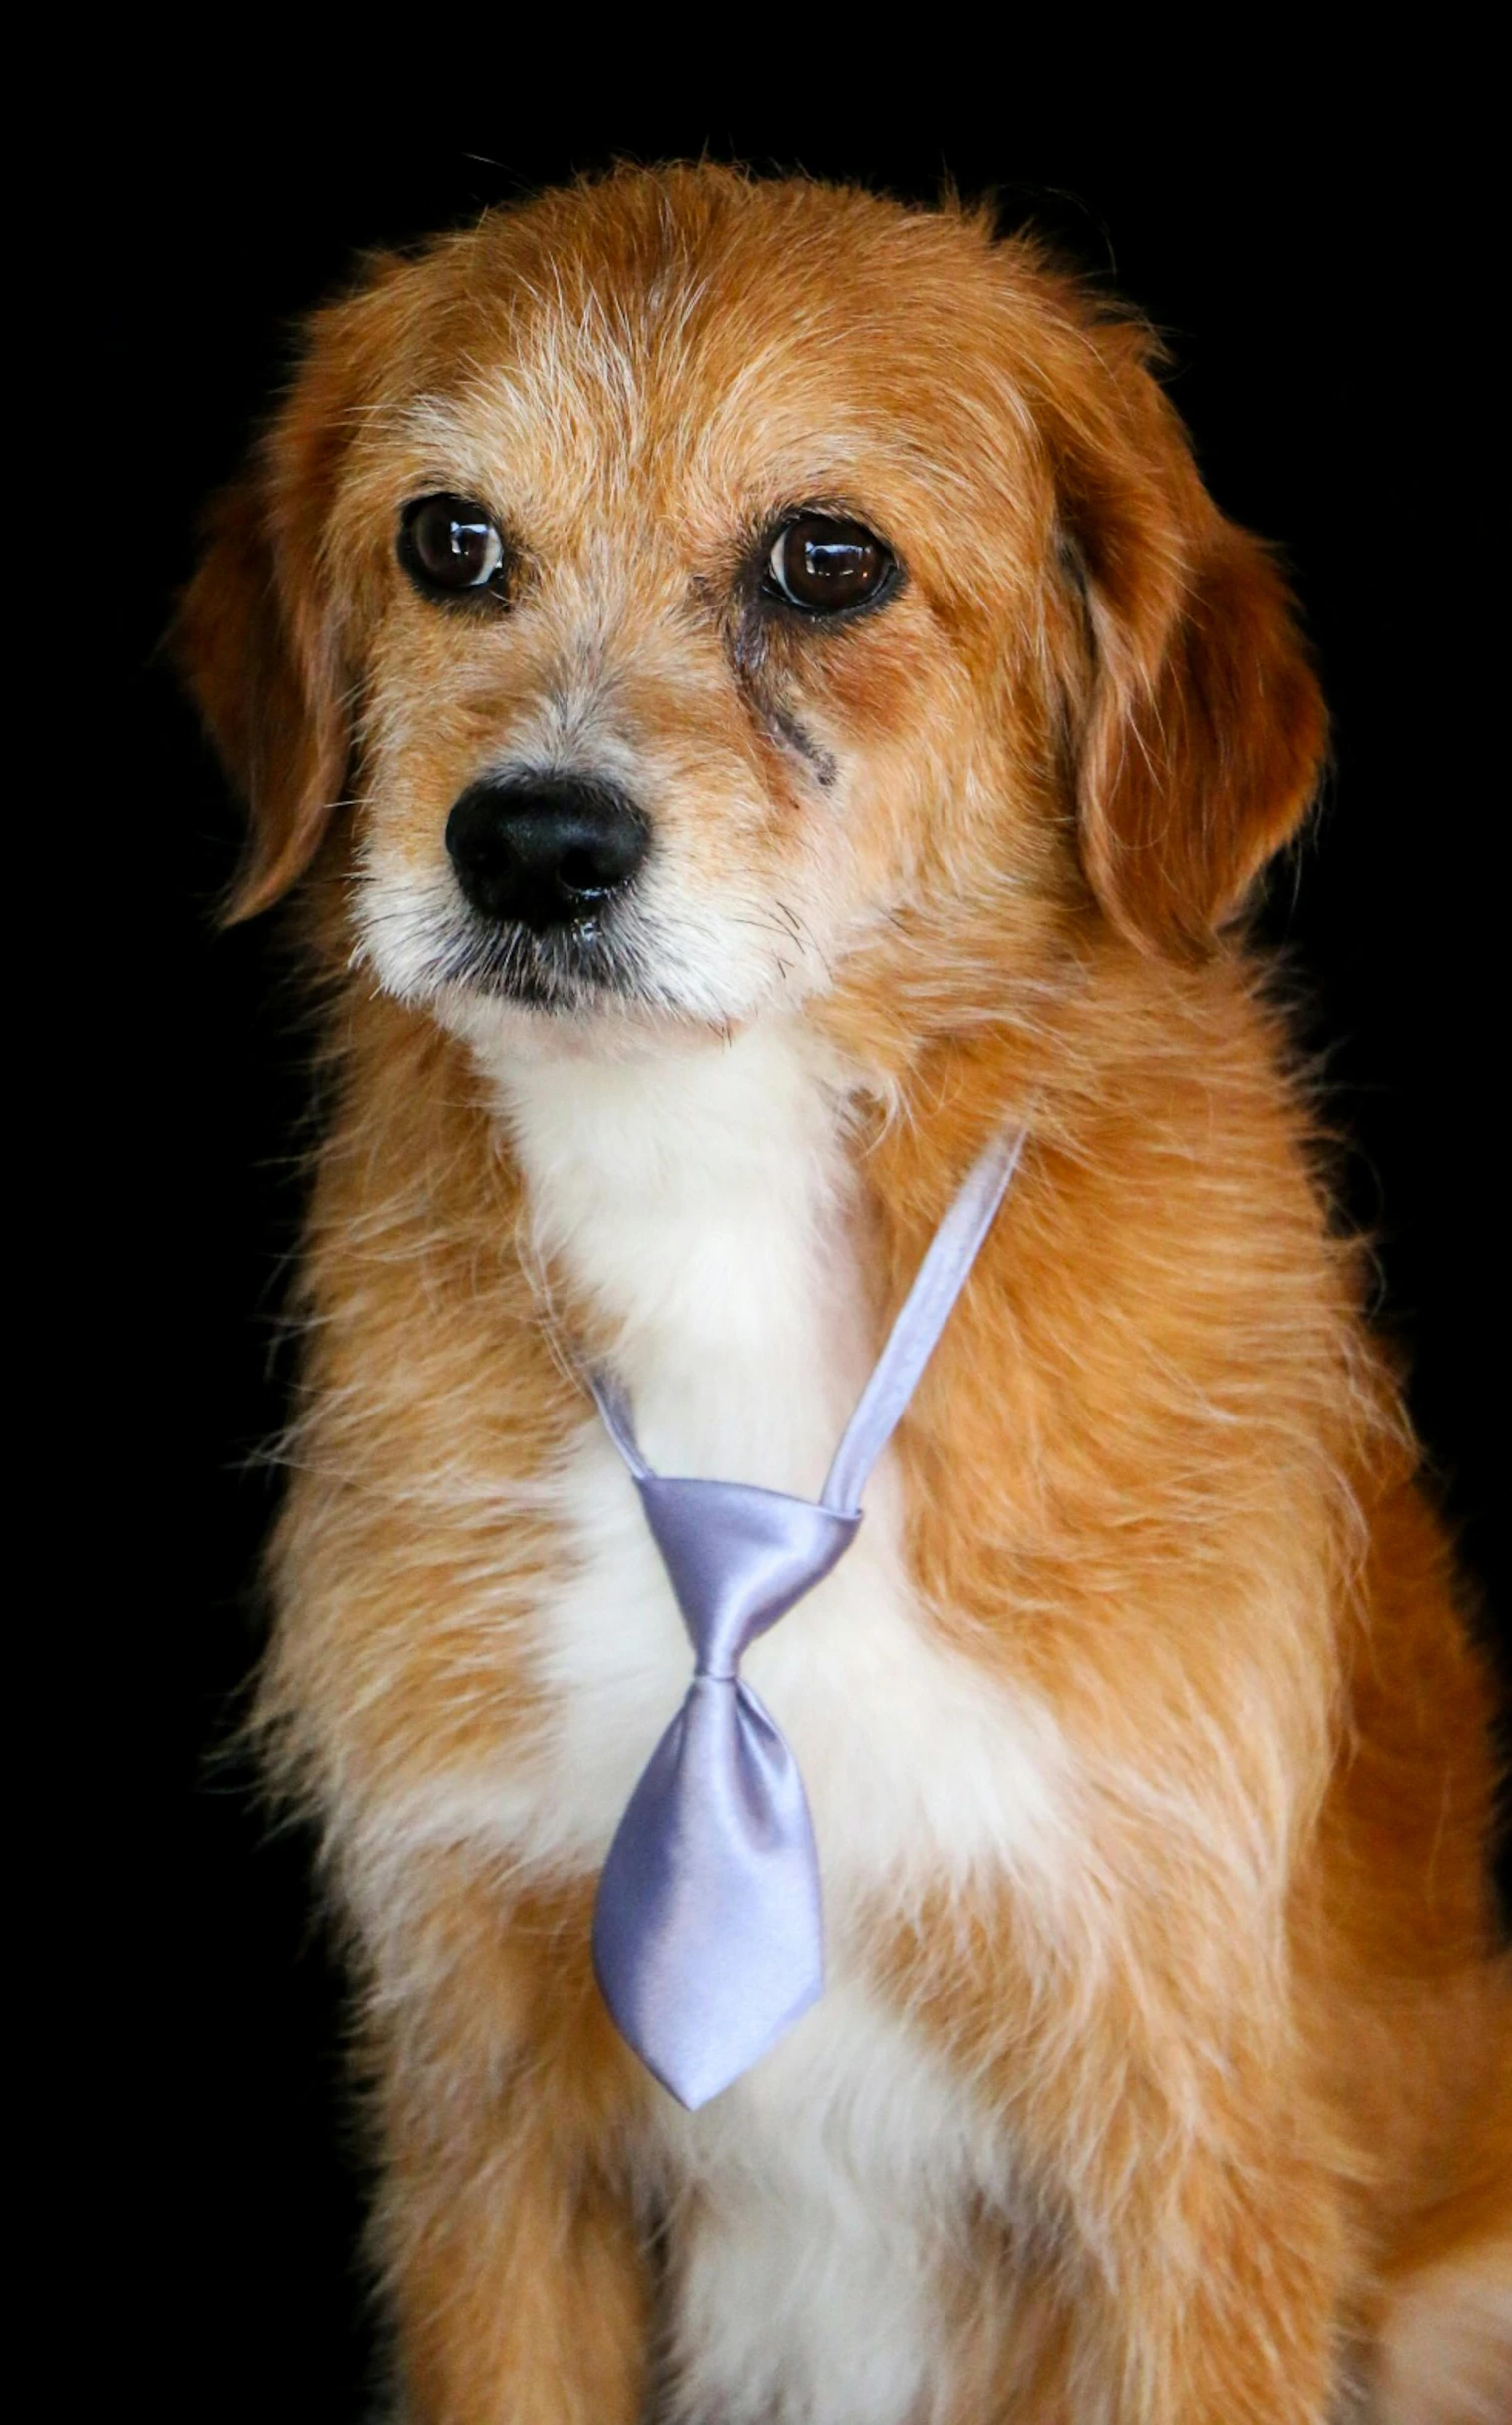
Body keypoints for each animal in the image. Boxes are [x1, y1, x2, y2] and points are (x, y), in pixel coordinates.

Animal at [180, 161, 1512, 2415]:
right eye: (448, 540)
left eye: (827, 562)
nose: (529, 847)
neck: (711, 1202)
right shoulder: (487, 2124)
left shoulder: (1192, 2162)